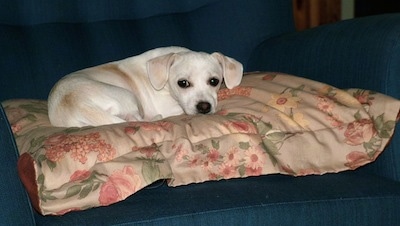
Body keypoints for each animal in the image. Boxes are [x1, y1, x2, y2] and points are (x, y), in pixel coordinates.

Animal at [47, 46, 241, 127]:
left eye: (214, 81)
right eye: (183, 83)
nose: (204, 107)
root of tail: (81, 106)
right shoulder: (168, 107)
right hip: (129, 97)